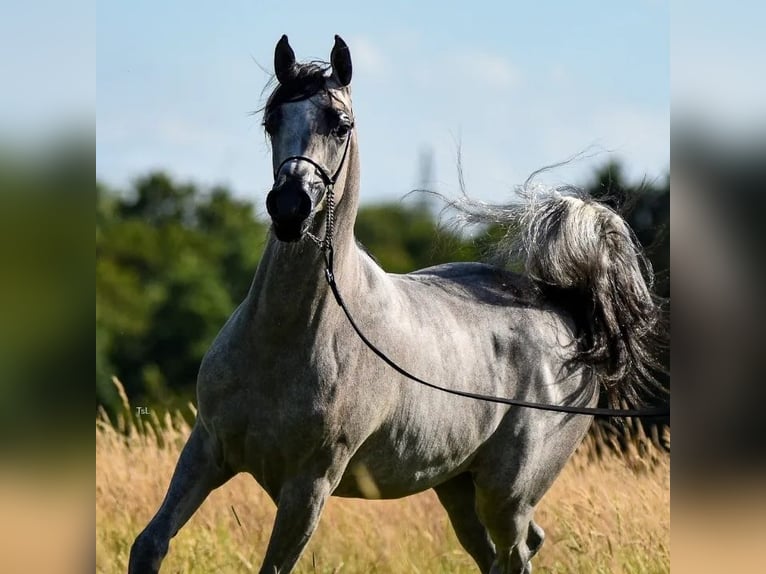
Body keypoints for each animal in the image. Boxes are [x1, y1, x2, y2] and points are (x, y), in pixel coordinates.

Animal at [127, 33, 664, 572]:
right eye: (271, 120)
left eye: (340, 124)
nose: (290, 207)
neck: (287, 339)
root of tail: (567, 315)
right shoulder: (207, 450)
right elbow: (149, 544)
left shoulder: (308, 488)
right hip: (457, 488)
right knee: (508, 549)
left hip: (505, 495)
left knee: (516, 552)